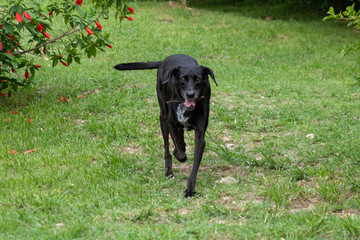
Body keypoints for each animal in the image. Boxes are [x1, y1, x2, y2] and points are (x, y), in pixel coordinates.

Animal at [114, 54, 217, 197]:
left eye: (198, 79)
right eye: (183, 78)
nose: (190, 94)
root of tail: (165, 60)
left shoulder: (200, 136)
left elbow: (194, 164)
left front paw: (190, 188)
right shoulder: (171, 124)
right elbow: (180, 153)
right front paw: (177, 155)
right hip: (162, 118)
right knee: (168, 147)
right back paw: (169, 171)